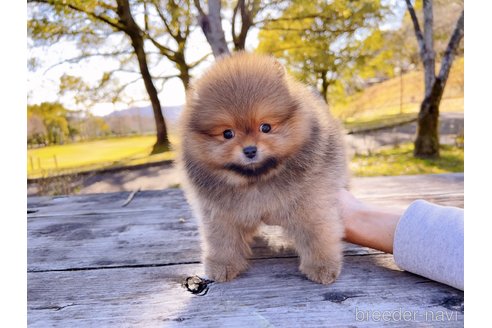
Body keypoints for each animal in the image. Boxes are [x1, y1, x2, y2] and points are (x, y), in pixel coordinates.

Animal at [179, 52, 348, 284]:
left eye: (265, 127)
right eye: (227, 134)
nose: (250, 150)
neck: (256, 179)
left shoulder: (311, 203)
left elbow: (318, 235)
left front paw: (322, 266)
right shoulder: (219, 213)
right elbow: (221, 240)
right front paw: (222, 265)